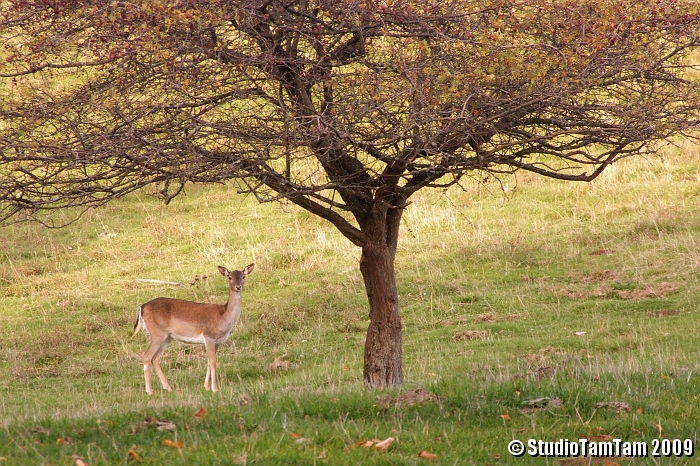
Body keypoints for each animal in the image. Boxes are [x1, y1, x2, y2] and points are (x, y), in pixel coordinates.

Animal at [131, 262, 254, 394]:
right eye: (229, 277)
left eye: (243, 276)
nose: (238, 286)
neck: (224, 318)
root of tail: (142, 307)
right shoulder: (209, 336)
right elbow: (213, 362)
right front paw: (215, 389)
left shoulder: (218, 341)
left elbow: (209, 362)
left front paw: (206, 387)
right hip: (157, 333)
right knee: (146, 356)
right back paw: (149, 391)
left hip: (167, 337)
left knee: (155, 358)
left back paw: (168, 388)